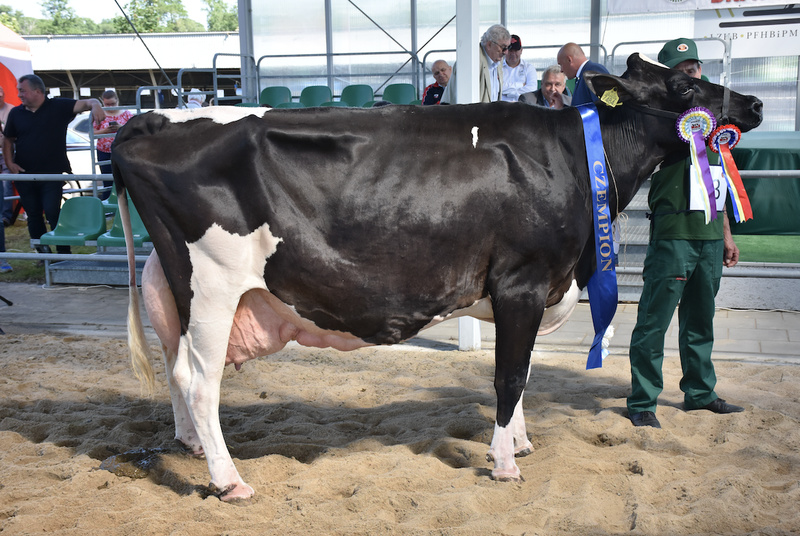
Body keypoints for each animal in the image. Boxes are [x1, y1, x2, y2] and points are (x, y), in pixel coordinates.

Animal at [112, 52, 764, 500]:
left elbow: (523, 373)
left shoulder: (528, 293)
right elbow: (507, 376)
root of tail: (149, 121)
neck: (573, 156)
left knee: (176, 368)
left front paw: (520, 440)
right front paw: (505, 463)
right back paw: (230, 481)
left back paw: (191, 447)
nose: (754, 105)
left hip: (176, 287)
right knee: (201, 381)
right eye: (685, 85)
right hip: (213, 285)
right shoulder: (522, 281)